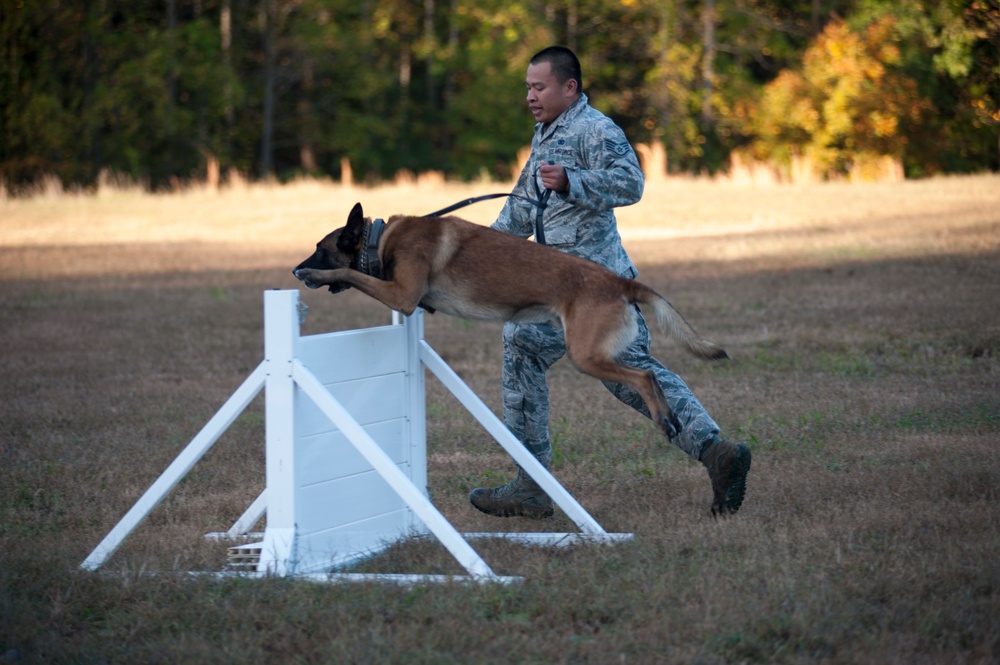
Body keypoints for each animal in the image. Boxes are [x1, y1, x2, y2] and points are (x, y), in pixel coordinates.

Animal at [292, 202, 728, 440]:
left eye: (319, 249)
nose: (296, 269)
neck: (378, 239)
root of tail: (619, 282)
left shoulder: (402, 295)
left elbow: (350, 274)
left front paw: (319, 274)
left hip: (586, 356)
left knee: (646, 377)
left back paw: (666, 420)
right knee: (652, 374)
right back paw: (673, 419)